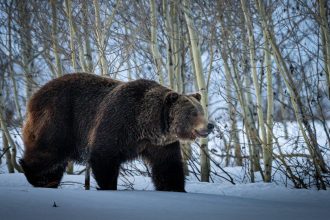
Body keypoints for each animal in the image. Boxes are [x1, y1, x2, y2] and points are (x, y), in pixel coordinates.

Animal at [20, 73, 214, 192]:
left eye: (201, 110)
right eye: (193, 113)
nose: (210, 125)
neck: (146, 125)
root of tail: (34, 96)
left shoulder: (159, 143)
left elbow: (168, 166)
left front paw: (175, 188)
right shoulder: (117, 122)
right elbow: (104, 156)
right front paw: (109, 186)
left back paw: (49, 181)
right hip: (59, 119)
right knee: (48, 151)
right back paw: (36, 177)